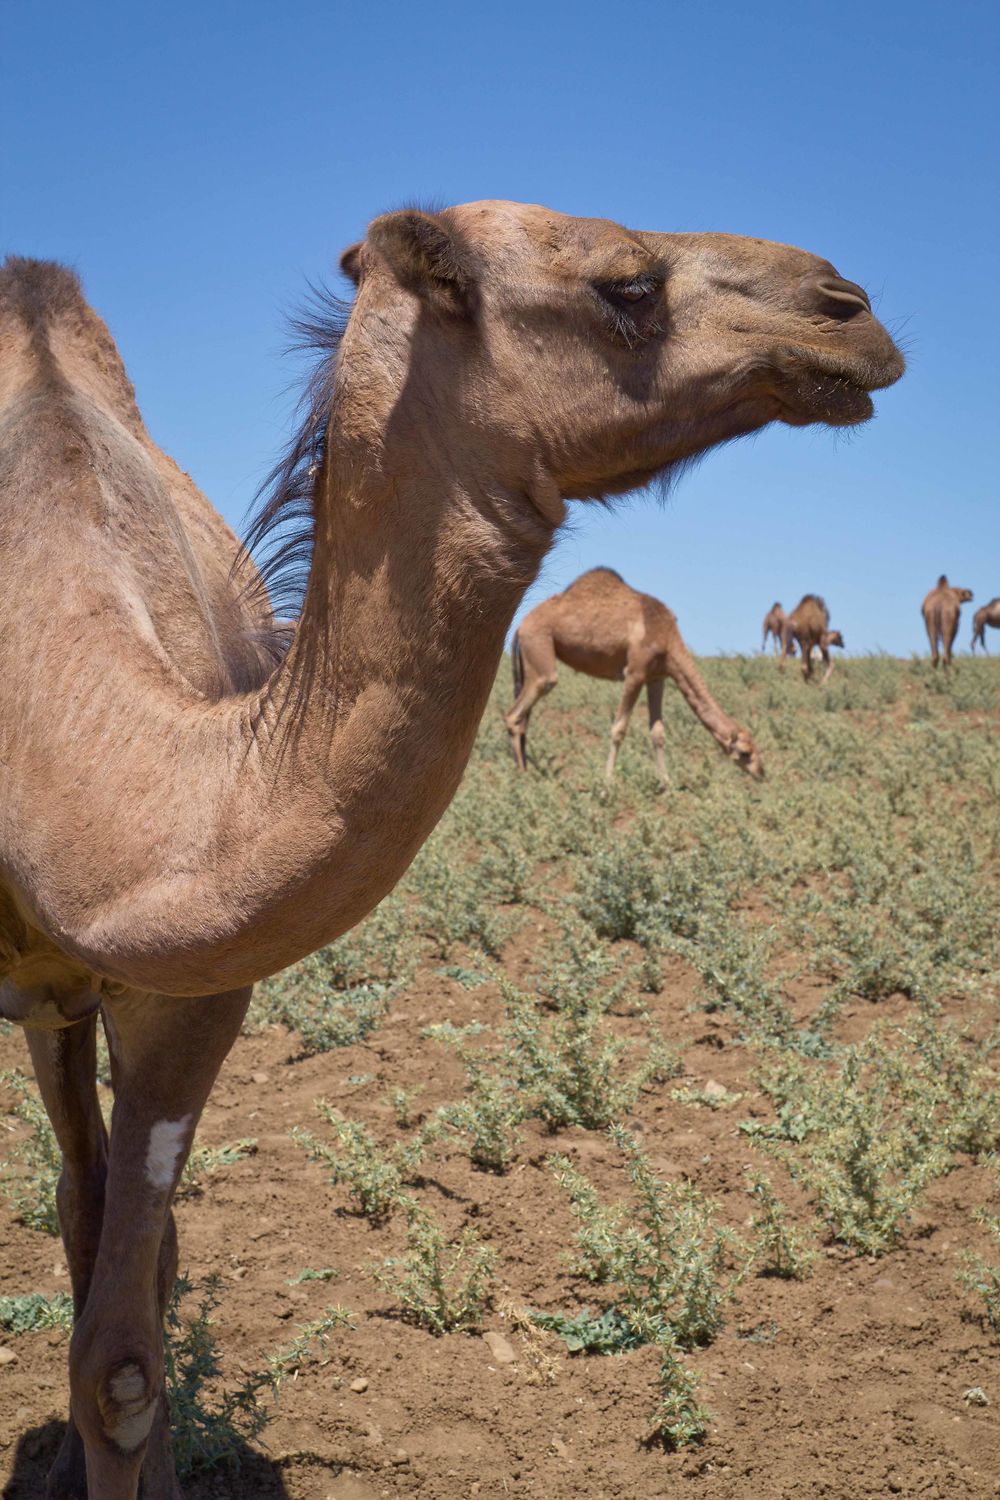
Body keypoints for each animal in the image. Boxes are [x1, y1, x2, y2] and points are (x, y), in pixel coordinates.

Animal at [509, 567, 767, 786]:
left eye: (756, 749)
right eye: (745, 753)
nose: (761, 773)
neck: (667, 637)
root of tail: (519, 628)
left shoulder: (657, 677)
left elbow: (658, 732)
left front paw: (667, 783)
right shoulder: (634, 673)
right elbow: (619, 729)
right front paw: (607, 783)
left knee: (523, 718)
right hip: (539, 648)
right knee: (518, 712)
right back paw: (522, 777)